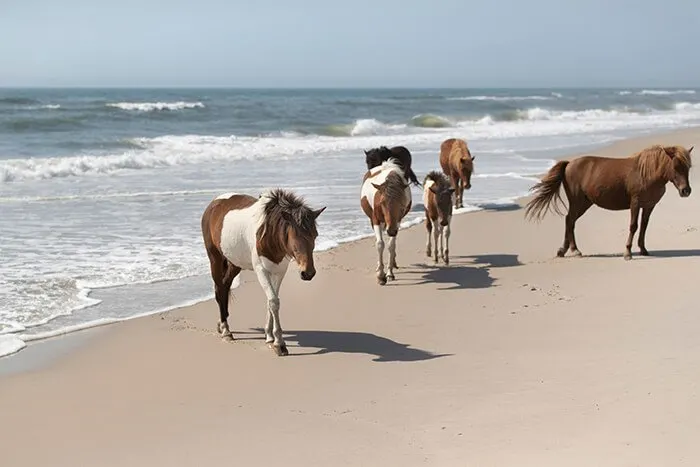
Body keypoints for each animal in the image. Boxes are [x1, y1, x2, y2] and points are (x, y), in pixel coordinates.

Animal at [200, 188, 326, 356]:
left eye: (315, 235)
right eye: (295, 236)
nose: (308, 273)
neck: (270, 234)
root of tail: (213, 204)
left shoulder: (279, 271)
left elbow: (271, 301)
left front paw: (269, 337)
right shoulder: (261, 270)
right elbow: (273, 301)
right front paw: (279, 344)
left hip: (235, 263)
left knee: (225, 286)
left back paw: (221, 324)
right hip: (215, 258)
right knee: (220, 289)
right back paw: (226, 330)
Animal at [524, 145, 696, 260]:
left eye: (688, 167)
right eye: (675, 166)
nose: (686, 191)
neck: (647, 173)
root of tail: (569, 164)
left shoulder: (649, 206)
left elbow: (644, 226)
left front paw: (643, 249)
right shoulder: (635, 203)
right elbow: (634, 226)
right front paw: (627, 253)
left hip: (585, 203)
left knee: (569, 220)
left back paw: (563, 250)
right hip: (577, 201)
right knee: (570, 220)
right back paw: (574, 250)